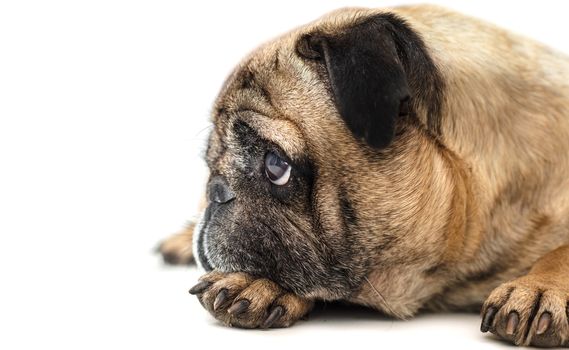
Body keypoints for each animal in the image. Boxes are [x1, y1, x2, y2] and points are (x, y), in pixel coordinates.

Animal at [158, 4, 568, 348]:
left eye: (276, 166)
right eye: (210, 160)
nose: (215, 190)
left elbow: (560, 251)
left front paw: (539, 288)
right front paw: (254, 281)